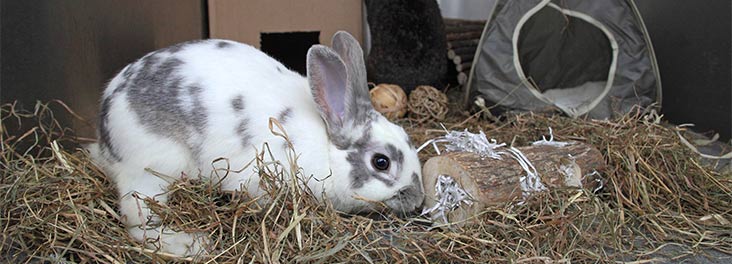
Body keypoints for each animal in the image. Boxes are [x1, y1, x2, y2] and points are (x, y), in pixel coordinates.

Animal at [88, 31, 426, 256]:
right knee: (138, 221)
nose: (418, 200)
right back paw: (188, 244)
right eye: (381, 162)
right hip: (152, 169)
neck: (327, 146)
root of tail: (105, 134)